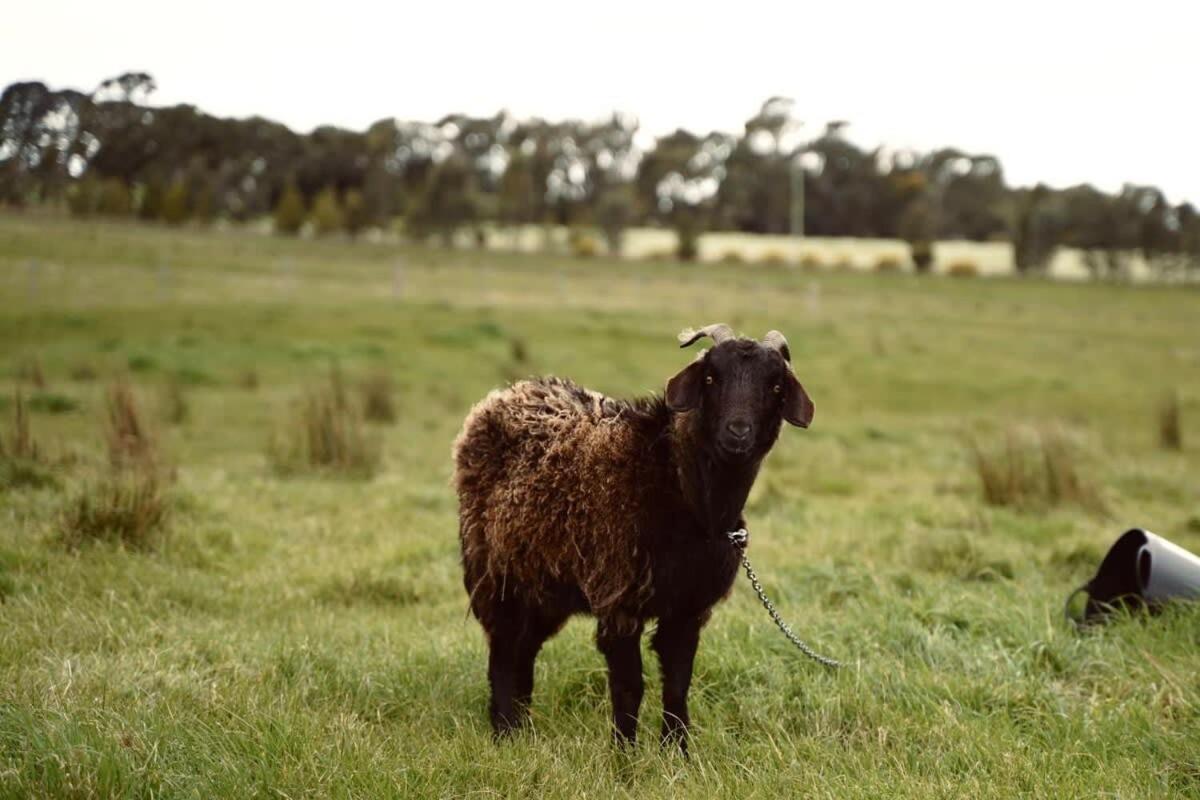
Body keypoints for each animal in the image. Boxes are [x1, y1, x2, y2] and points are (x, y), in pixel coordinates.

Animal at [451, 321, 816, 748]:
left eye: (775, 385)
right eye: (711, 377)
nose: (738, 433)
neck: (681, 489)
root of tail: (506, 394)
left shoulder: (688, 606)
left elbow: (677, 683)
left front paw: (677, 750)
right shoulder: (618, 598)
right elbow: (629, 687)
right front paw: (624, 754)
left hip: (544, 585)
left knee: (524, 651)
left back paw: (522, 726)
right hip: (495, 574)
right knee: (504, 650)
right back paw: (505, 730)